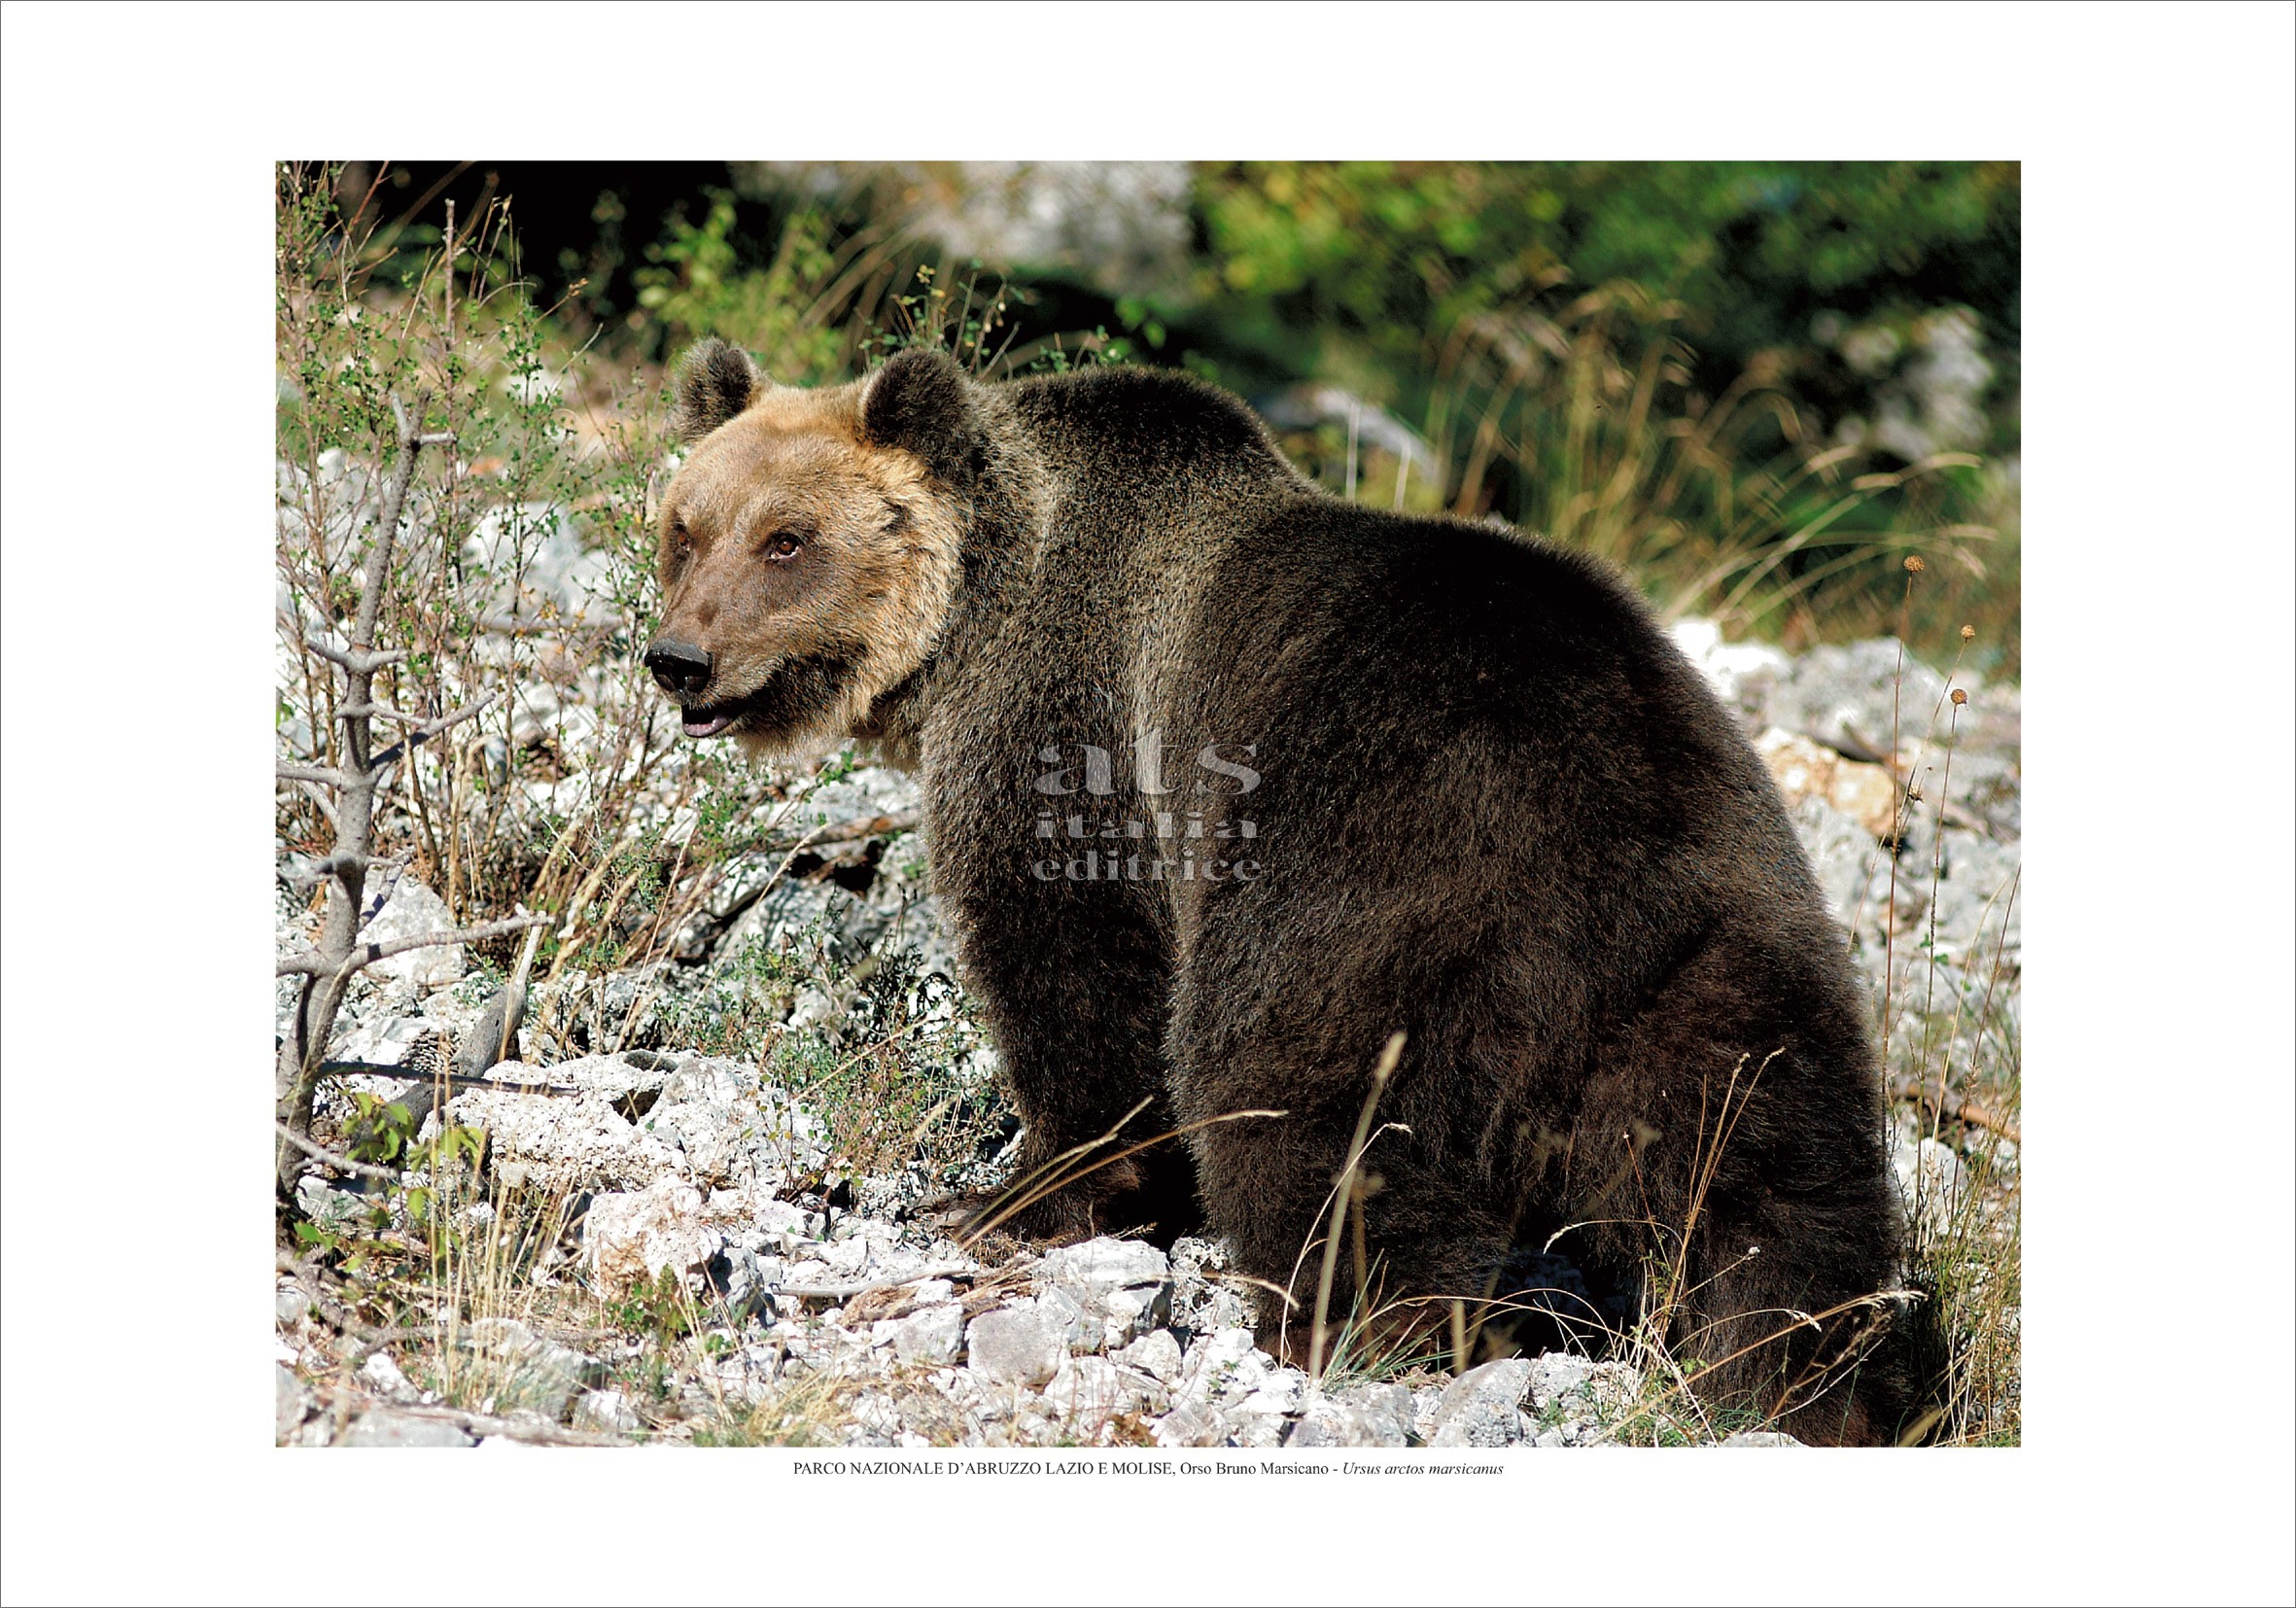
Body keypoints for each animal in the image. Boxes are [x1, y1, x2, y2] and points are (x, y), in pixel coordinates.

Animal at [643, 339, 1900, 1442]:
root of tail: (1606, 833)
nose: (680, 660)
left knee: (1298, 1094)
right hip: (1733, 944)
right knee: (1777, 1184)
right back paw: (1819, 1386)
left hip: (1367, 881)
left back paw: (1349, 1327)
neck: (971, 614)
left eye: (788, 539)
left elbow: (1074, 971)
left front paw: (1009, 1196)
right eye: (683, 530)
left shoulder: (1075, 733)